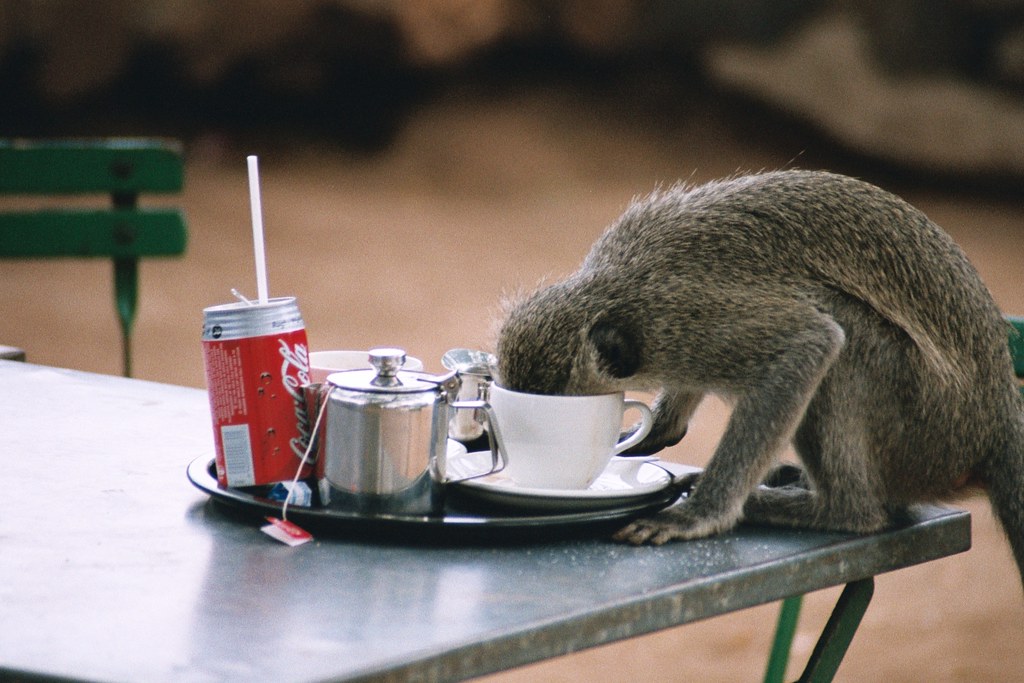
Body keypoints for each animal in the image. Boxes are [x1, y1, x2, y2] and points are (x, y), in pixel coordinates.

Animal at [495, 170, 1024, 588]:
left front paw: (697, 515)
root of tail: (995, 421)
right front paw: (657, 430)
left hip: (926, 428)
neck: (614, 289)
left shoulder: (683, 318)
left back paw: (834, 509)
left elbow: (810, 341)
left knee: (845, 331)